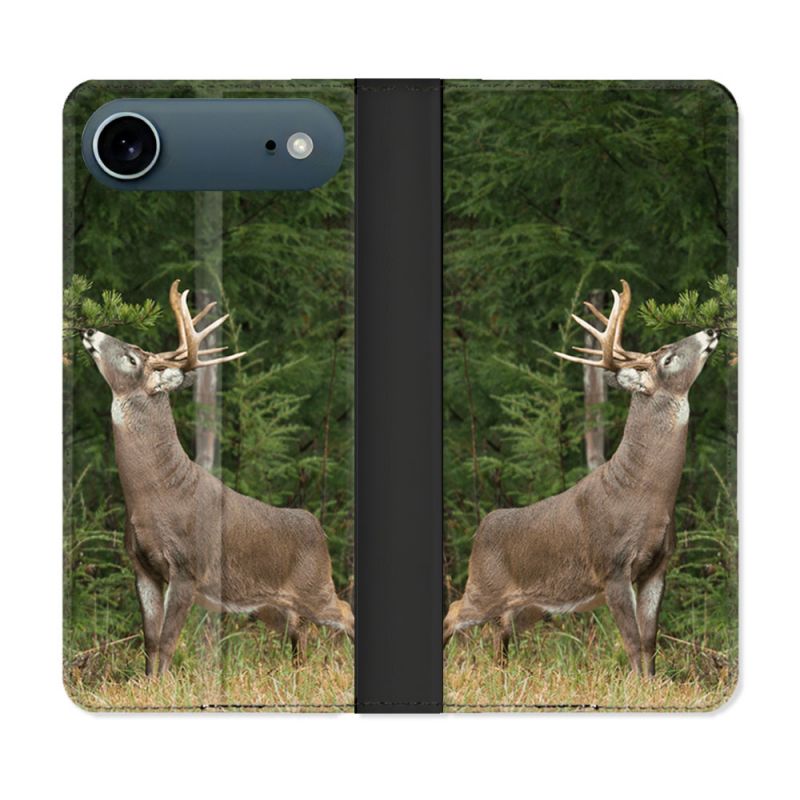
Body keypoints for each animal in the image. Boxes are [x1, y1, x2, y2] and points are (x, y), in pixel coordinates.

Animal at [82, 280, 354, 676]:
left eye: (132, 358)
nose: (89, 330)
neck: (155, 495)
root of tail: (317, 527)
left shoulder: (187, 567)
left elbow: (168, 641)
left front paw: (162, 685)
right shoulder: (142, 567)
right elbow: (150, 641)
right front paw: (147, 683)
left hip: (315, 585)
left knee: (345, 612)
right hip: (267, 603)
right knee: (300, 629)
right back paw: (296, 672)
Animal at [443, 280, 719, 676]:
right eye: (667, 358)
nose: (710, 330)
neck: (646, 494)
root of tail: (482, 528)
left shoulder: (658, 565)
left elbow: (650, 641)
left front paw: (652, 683)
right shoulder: (613, 566)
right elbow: (632, 641)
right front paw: (637, 685)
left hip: (530, 604)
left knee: (501, 629)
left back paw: (503, 672)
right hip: (484, 585)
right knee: (453, 612)